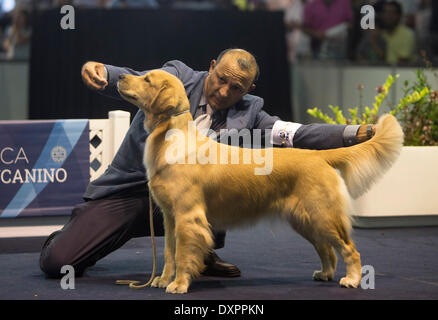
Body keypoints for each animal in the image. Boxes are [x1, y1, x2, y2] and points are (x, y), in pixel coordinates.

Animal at [116, 70, 404, 296]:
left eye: (147, 79)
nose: (119, 76)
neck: (171, 137)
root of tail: (317, 155)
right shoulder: (170, 217)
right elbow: (168, 252)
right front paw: (163, 279)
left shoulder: (188, 216)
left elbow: (182, 253)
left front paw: (179, 284)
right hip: (304, 219)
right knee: (327, 249)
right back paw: (325, 273)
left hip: (322, 213)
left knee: (348, 249)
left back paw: (352, 279)